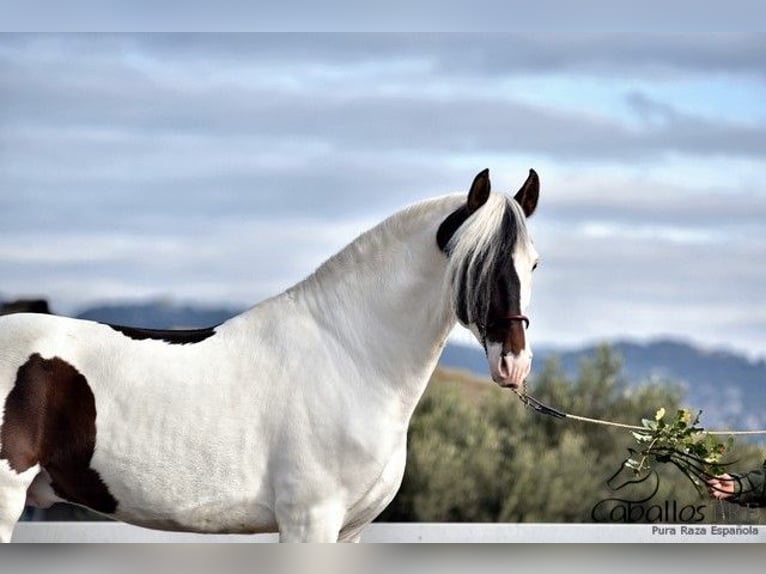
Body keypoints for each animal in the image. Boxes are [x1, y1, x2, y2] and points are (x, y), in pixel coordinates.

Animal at [0, 168, 540, 542]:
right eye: (479, 265)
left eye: (532, 263)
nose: (514, 364)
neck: (351, 354)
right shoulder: (309, 520)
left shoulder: (349, 529)